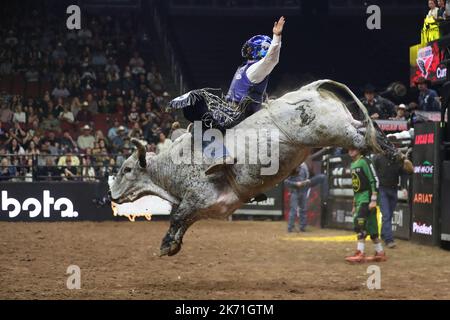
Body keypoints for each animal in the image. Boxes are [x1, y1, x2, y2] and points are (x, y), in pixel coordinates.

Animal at [109, 80, 412, 258]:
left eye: (127, 169)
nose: (111, 195)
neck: (174, 163)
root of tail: (310, 89)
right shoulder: (208, 206)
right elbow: (183, 220)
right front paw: (173, 245)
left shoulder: (199, 197)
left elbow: (177, 217)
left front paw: (166, 245)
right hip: (342, 124)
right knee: (367, 130)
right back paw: (400, 155)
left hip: (334, 130)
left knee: (364, 138)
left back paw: (398, 156)